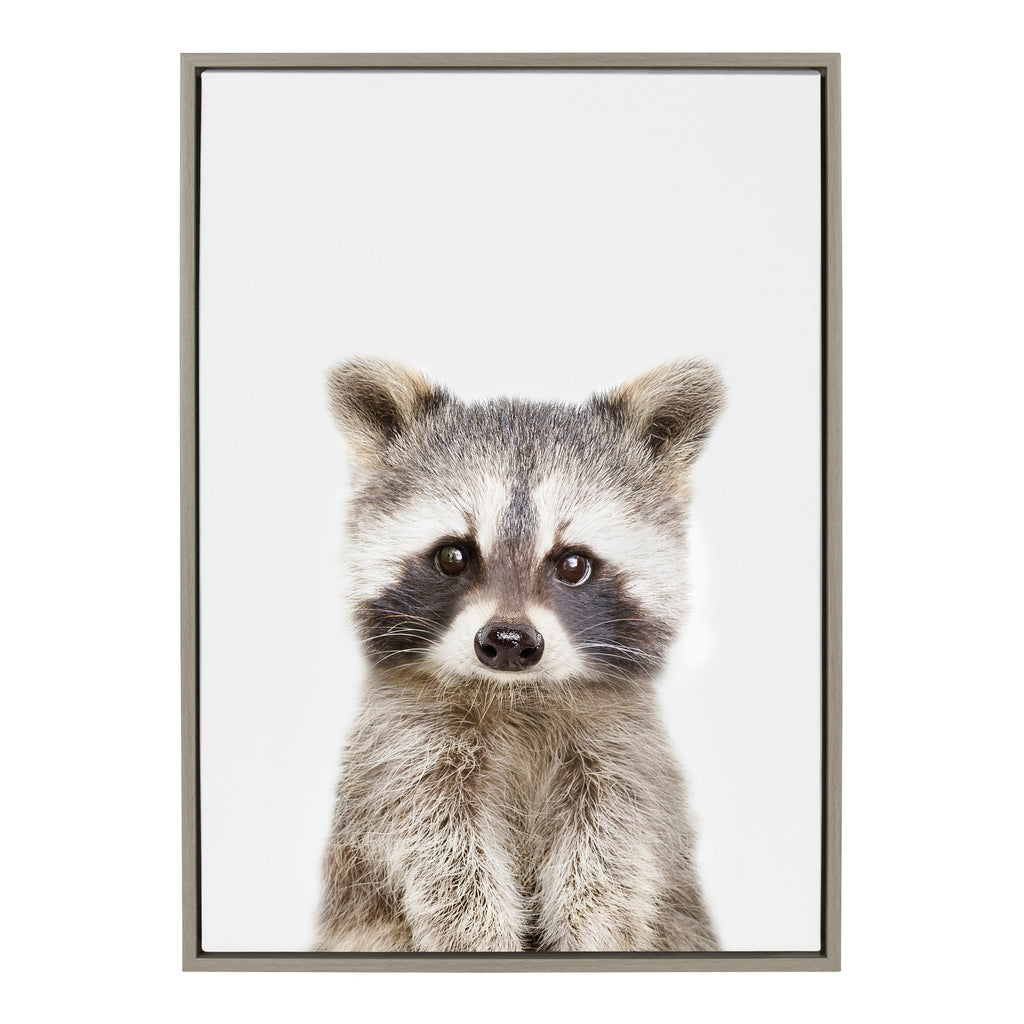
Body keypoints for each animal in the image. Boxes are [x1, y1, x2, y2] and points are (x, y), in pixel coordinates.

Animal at [315, 357, 724, 953]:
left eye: (573, 563)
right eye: (453, 556)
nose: (508, 643)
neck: (517, 695)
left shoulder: (625, 751)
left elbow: (613, 851)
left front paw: (592, 930)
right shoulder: (401, 749)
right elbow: (438, 848)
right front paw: (476, 935)